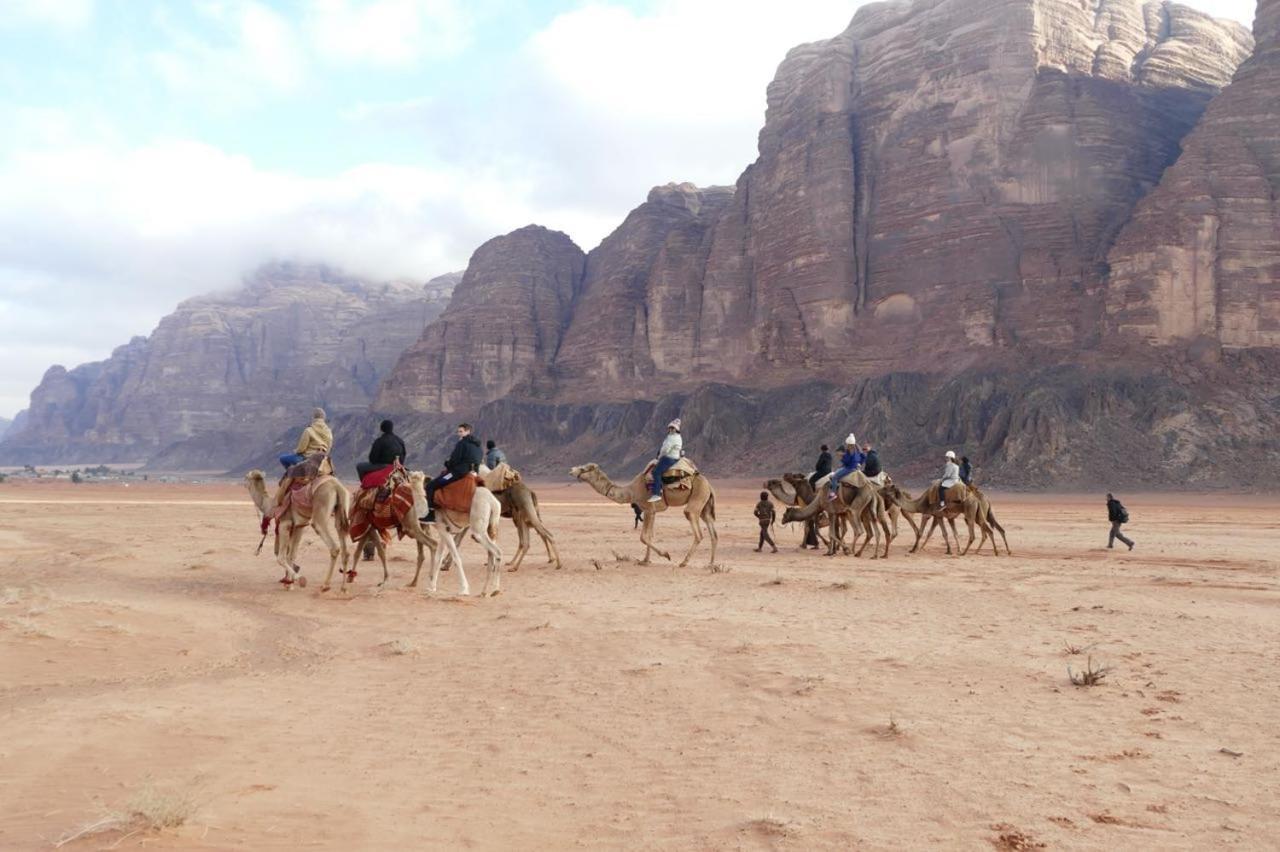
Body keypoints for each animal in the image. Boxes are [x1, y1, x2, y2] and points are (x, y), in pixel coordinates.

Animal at [573, 460, 721, 568]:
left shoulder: (648, 509)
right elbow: (650, 536)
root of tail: (709, 486)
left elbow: (643, 537)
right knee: (713, 533)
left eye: (584, 469)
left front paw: (666, 554)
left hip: (697, 497)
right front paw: (645, 560)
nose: (571, 470)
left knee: (697, 530)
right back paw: (711, 564)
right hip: (705, 505)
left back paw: (684, 562)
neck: (631, 490)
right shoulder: (651, 511)